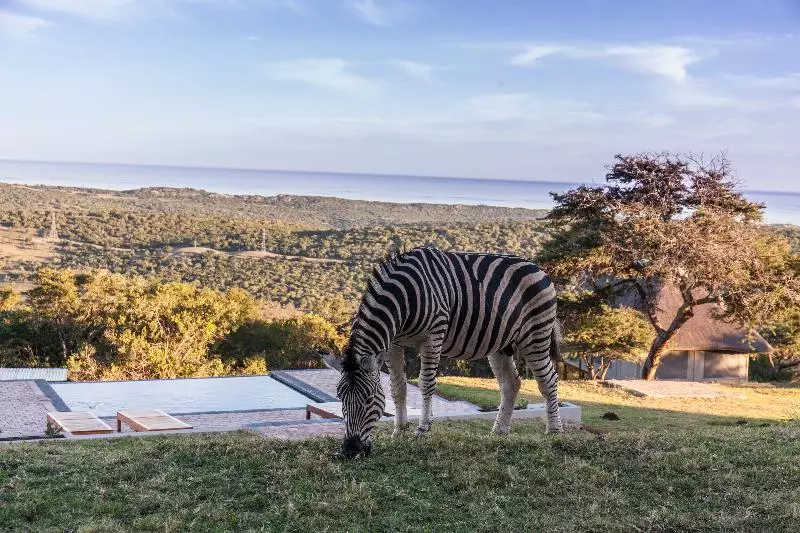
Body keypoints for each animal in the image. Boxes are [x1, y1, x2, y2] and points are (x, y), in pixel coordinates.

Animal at [337, 246, 563, 458]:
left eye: (368, 399)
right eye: (340, 397)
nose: (351, 451)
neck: (404, 298)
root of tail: (539, 268)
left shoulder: (433, 336)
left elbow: (425, 383)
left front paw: (422, 429)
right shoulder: (393, 344)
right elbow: (398, 387)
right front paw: (399, 431)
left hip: (535, 335)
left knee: (549, 380)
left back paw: (554, 431)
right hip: (501, 343)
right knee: (511, 383)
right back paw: (499, 431)